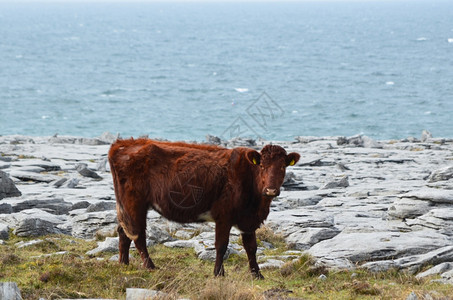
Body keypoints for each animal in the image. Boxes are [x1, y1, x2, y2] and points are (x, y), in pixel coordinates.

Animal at [108, 139, 300, 278]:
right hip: (135, 203)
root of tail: (122, 144)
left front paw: (257, 274)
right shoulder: (224, 216)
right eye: (262, 166)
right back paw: (150, 266)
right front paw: (219, 273)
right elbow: (221, 245)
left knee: (123, 231)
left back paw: (123, 264)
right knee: (138, 235)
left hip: (126, 207)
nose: (271, 190)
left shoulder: (248, 220)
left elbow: (251, 247)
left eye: (282, 167)